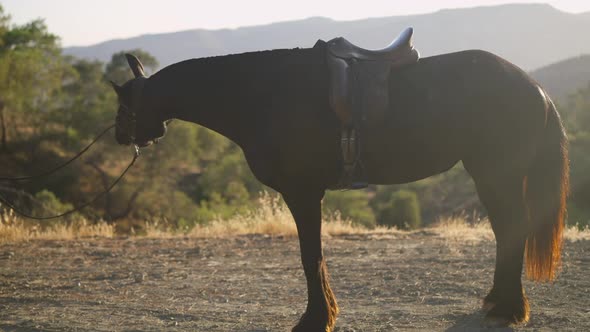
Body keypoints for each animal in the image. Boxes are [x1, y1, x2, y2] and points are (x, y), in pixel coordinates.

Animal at [110, 33, 568, 330]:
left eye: (124, 103)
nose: (120, 136)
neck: (262, 93)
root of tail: (535, 87)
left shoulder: (302, 193)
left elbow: (310, 256)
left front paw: (316, 318)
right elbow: (313, 256)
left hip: (497, 173)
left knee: (512, 229)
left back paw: (508, 309)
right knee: (507, 230)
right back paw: (500, 302)